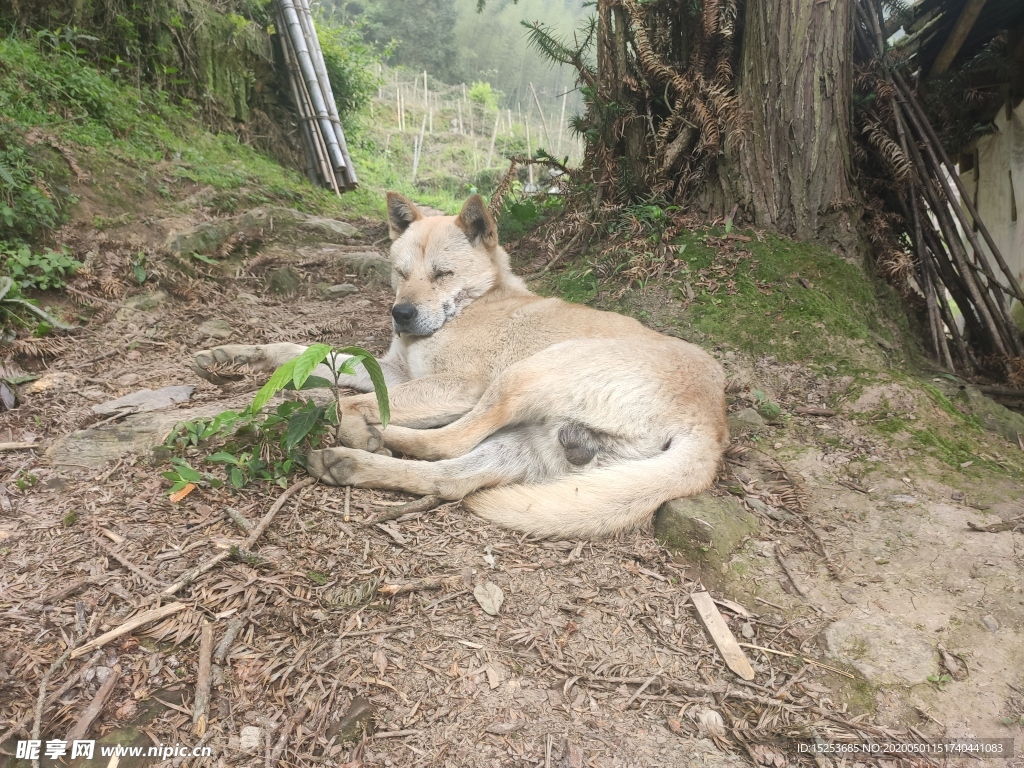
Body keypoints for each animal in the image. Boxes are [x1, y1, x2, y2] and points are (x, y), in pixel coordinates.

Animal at [193, 193, 729, 540]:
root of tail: (712, 426)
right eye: (400, 272)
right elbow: (299, 354)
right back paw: (351, 462)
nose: (401, 315)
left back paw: (367, 439)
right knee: (449, 477)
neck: (472, 305)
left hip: (525, 375)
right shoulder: (393, 372)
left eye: (442, 274)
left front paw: (285, 406)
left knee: (444, 441)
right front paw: (234, 357)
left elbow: (348, 398)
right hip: (531, 444)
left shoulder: (454, 386)